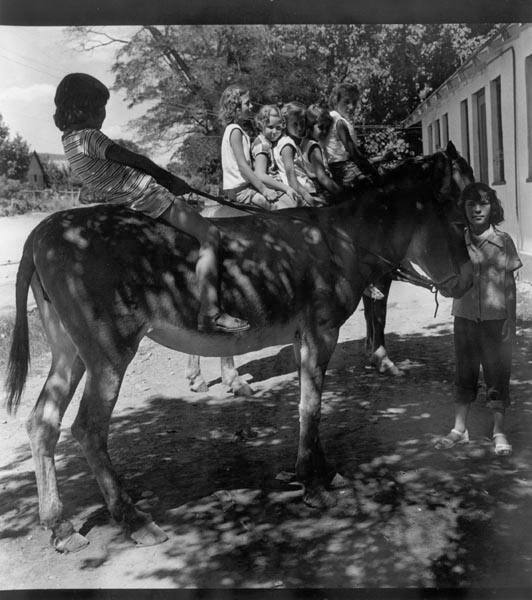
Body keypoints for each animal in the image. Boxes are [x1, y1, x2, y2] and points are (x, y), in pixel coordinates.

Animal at [6, 141, 474, 552]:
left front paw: (322, 472)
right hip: (108, 353)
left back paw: (59, 526)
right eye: (460, 220)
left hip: (69, 352)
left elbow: (311, 403)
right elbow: (311, 406)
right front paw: (312, 483)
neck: (339, 239)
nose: (468, 282)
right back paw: (132, 520)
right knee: (88, 429)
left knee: (42, 423)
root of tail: (41, 233)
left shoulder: (305, 337)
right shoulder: (321, 332)